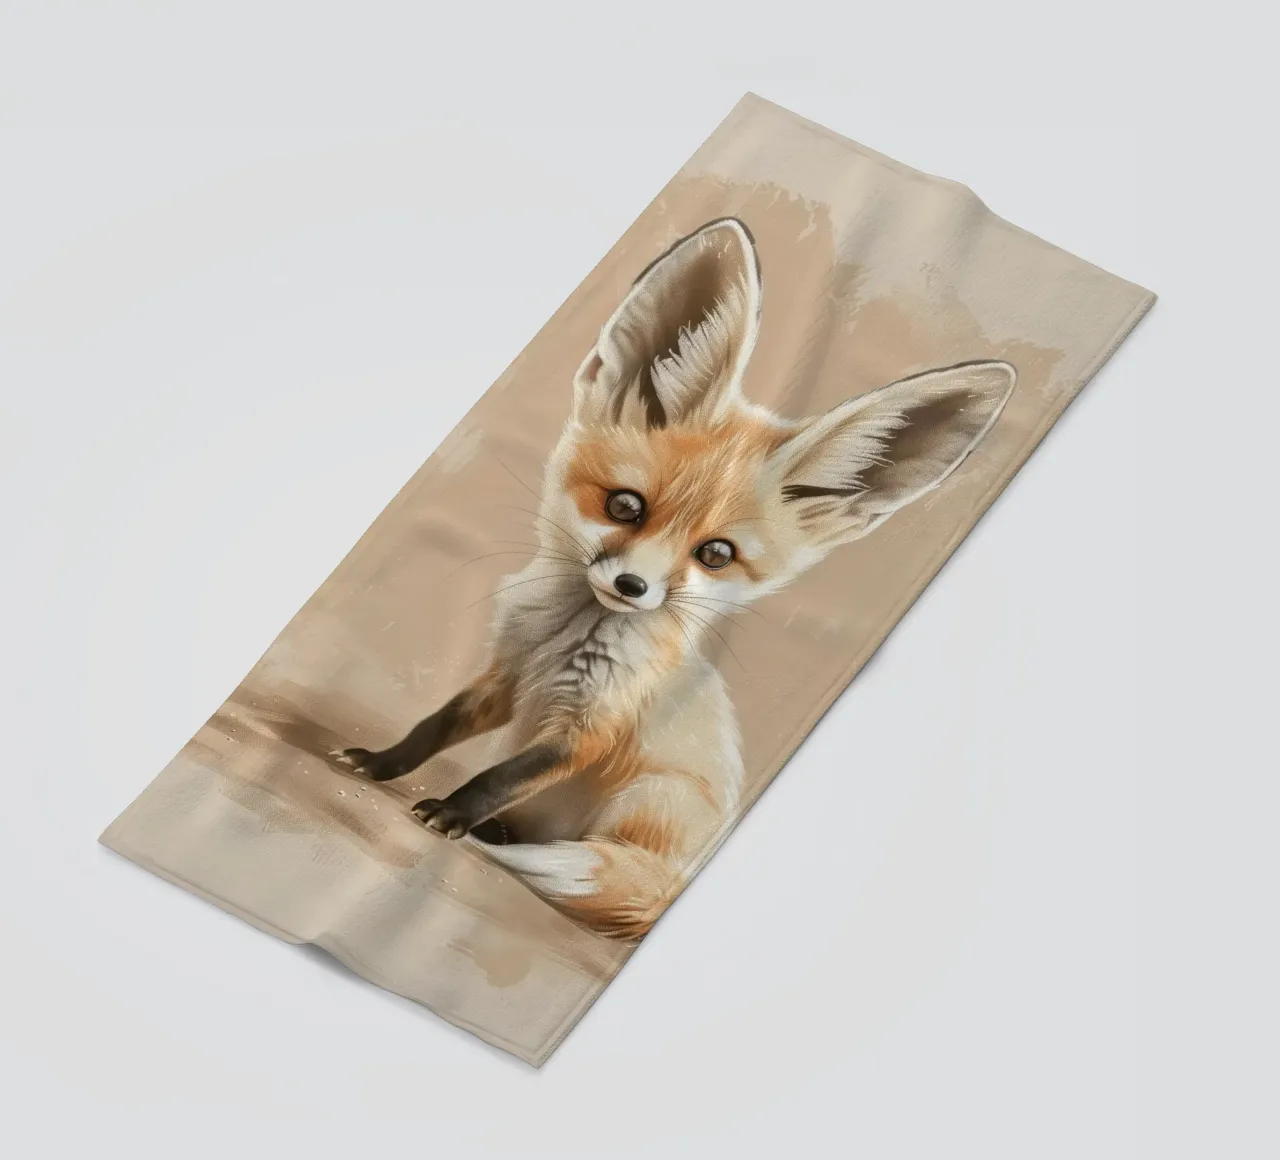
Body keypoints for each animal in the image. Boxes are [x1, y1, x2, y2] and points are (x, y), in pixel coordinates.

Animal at [336, 217, 1016, 941]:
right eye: (624, 507)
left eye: (715, 553)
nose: (632, 587)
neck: (564, 640)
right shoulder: (504, 678)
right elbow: (432, 727)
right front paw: (380, 765)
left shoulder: (589, 729)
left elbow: (502, 776)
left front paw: (454, 813)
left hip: (645, 798)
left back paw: (503, 840)